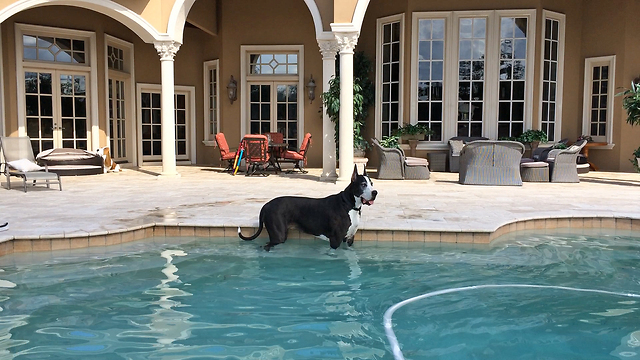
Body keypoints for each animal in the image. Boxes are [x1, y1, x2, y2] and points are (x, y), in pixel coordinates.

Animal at [239, 165, 378, 250]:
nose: (375, 192)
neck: (349, 205)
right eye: (363, 184)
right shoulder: (335, 241)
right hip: (278, 236)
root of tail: (266, 205)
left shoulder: (349, 240)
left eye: (371, 183)